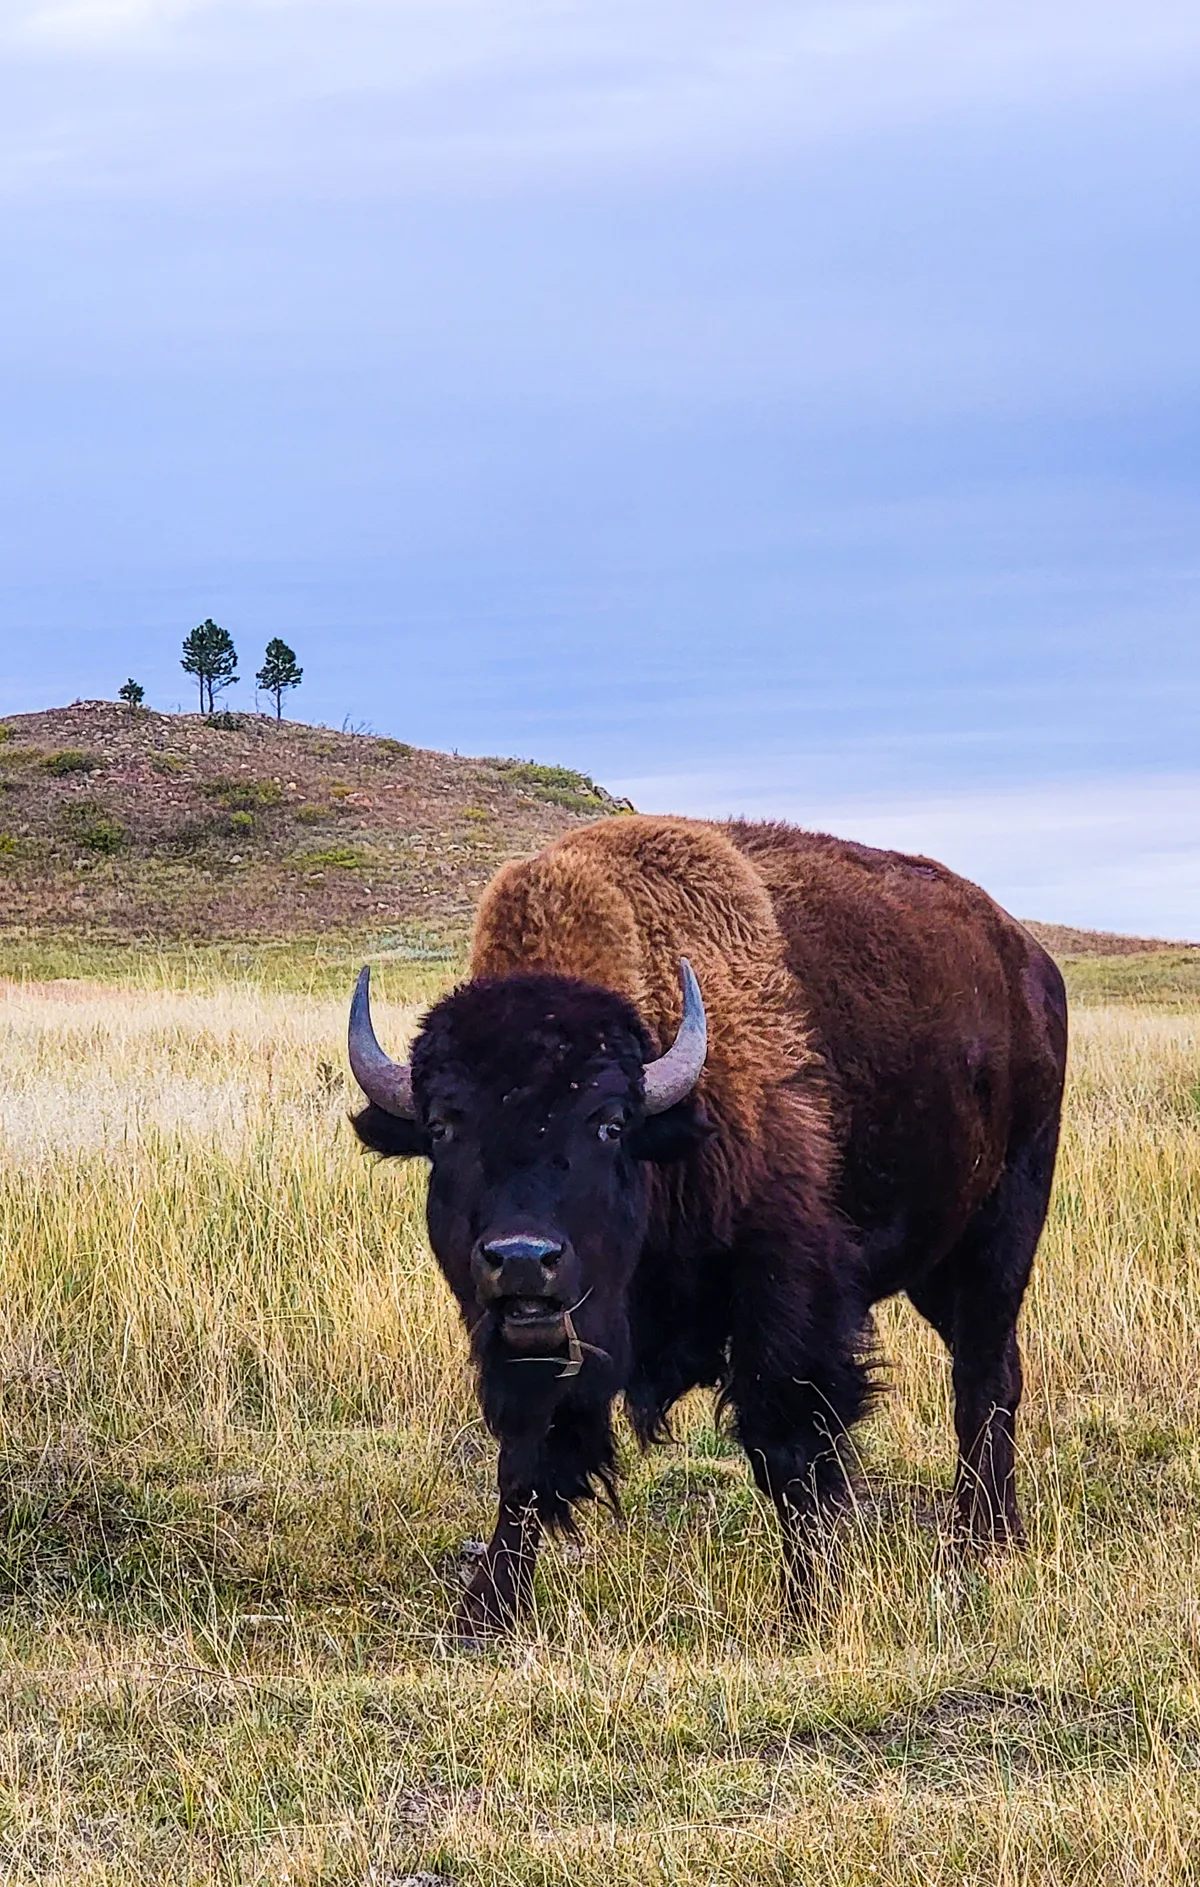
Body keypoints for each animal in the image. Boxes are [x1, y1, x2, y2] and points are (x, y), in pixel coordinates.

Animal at [349, 822, 1071, 1637]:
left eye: (609, 1122)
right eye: (442, 1127)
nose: (523, 1259)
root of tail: (1029, 963)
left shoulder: (787, 1304)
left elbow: (790, 1449)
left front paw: (807, 1609)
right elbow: (526, 1462)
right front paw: (485, 1615)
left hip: (1001, 1234)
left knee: (983, 1377)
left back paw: (982, 1542)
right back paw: (987, 1535)